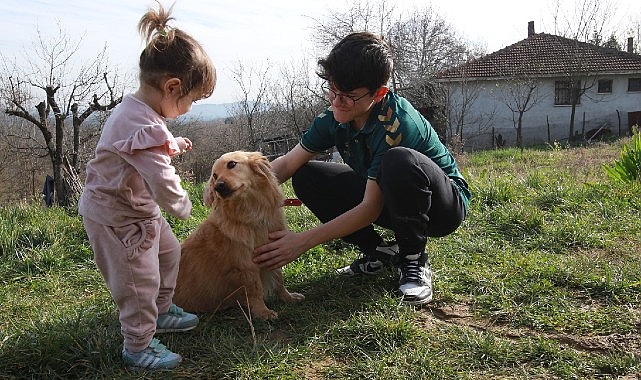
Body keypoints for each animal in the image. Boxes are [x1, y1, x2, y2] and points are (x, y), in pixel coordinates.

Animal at [174, 150, 304, 320]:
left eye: (232, 164)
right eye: (214, 175)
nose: (218, 186)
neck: (251, 214)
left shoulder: (274, 251)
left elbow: (279, 280)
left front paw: (288, 298)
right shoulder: (246, 266)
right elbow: (256, 290)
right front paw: (263, 312)